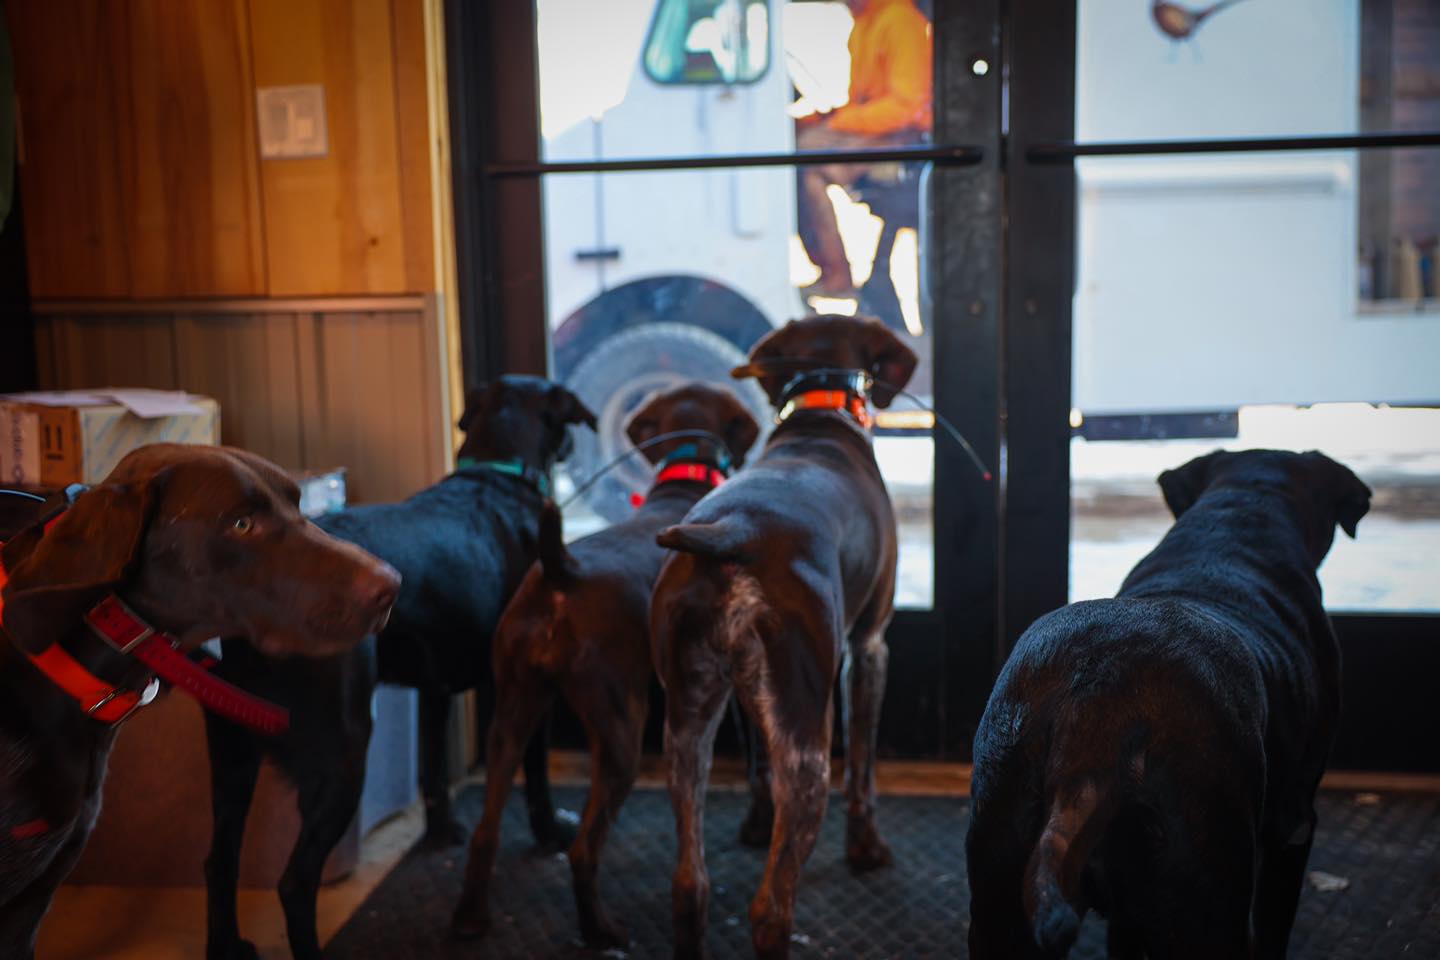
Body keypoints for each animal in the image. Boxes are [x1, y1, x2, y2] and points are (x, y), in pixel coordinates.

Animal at [200, 374, 593, 960]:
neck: (495, 472)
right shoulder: (526, 689)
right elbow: (538, 774)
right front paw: (550, 834)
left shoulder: (434, 690)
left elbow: (432, 767)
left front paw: (441, 835)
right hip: (342, 752)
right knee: (295, 882)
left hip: (232, 755)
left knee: (218, 862)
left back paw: (227, 946)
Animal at [452, 385, 766, 955]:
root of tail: (562, 574)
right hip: (620, 733)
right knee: (582, 851)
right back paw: (600, 930)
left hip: (512, 713)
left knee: (487, 830)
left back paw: (470, 916)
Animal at [650, 316, 915, 960]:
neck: (820, 416)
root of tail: (730, 532)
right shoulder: (869, 647)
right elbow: (864, 765)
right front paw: (867, 850)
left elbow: (757, 766)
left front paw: (753, 824)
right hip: (808, 746)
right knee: (770, 909)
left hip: (685, 725)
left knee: (689, 885)